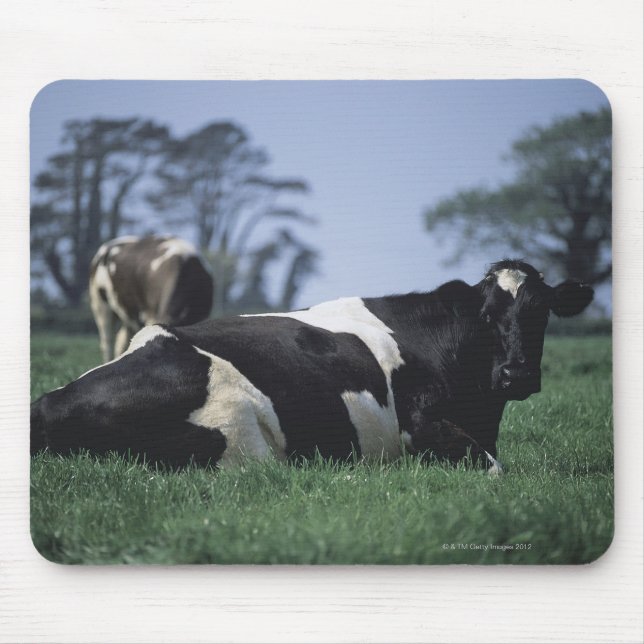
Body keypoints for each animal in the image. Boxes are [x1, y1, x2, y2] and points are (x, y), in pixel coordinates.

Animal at [31, 260, 593, 472]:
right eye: (486, 313)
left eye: (541, 311)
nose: (517, 375)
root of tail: (49, 402)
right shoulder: (420, 428)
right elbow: (495, 468)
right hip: (242, 438)